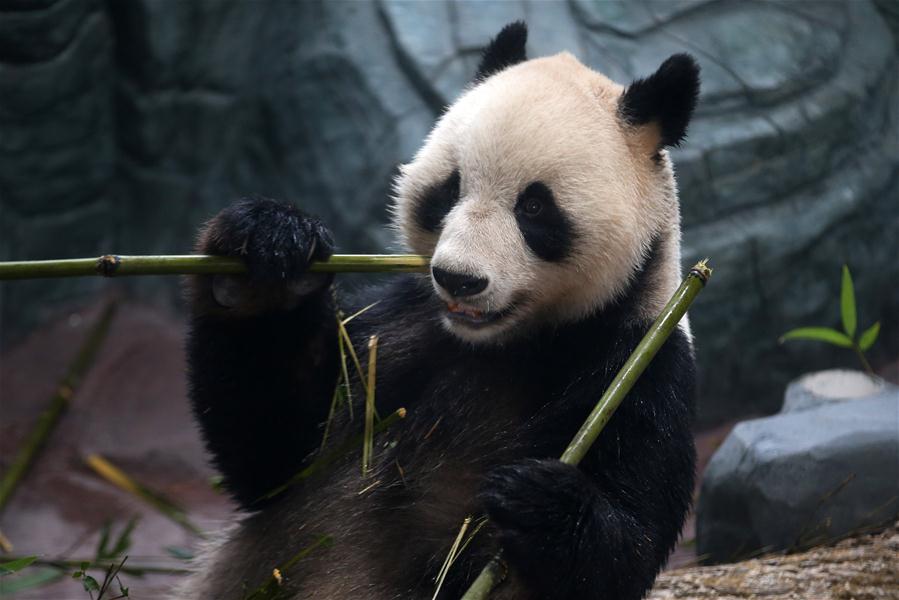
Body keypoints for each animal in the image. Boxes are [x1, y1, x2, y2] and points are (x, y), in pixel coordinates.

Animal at [179, 21, 704, 596]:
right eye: (449, 189)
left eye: (534, 207)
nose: (459, 279)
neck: (501, 345)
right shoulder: (394, 330)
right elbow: (276, 458)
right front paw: (268, 251)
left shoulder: (638, 363)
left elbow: (626, 547)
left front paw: (538, 500)